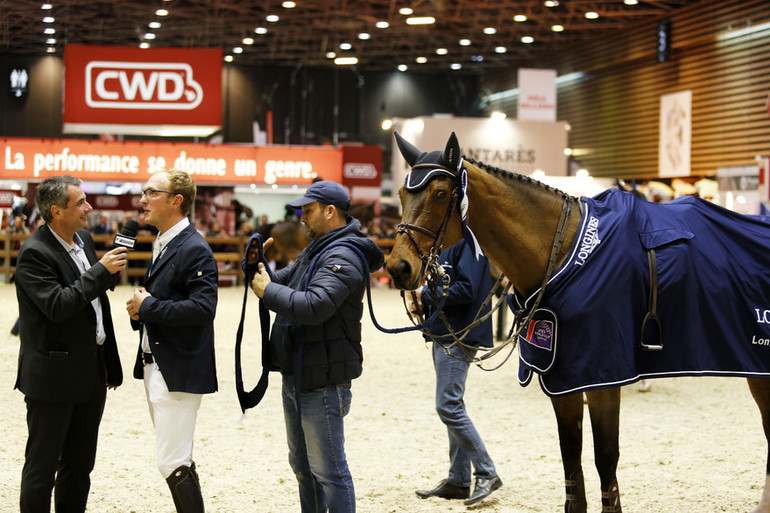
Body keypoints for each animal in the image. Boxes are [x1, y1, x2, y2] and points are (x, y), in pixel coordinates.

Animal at [384, 131, 770, 512]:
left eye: (440, 193)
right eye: (402, 193)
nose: (398, 267)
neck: (564, 254)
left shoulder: (602, 376)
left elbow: (605, 456)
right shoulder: (562, 377)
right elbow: (570, 454)